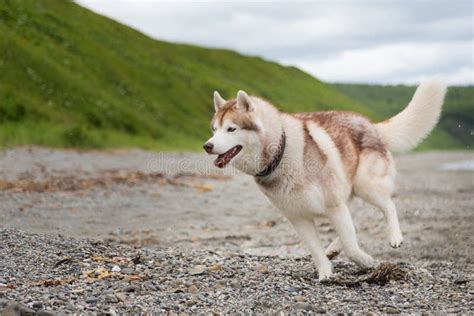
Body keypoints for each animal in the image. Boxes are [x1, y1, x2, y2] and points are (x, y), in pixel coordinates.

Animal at [203, 79, 444, 278]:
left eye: (231, 129)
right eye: (214, 129)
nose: (207, 145)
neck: (281, 153)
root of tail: (371, 124)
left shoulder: (333, 205)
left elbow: (351, 245)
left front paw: (365, 261)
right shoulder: (298, 217)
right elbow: (316, 248)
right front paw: (325, 273)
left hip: (367, 187)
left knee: (389, 206)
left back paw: (394, 236)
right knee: (355, 222)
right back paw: (334, 248)